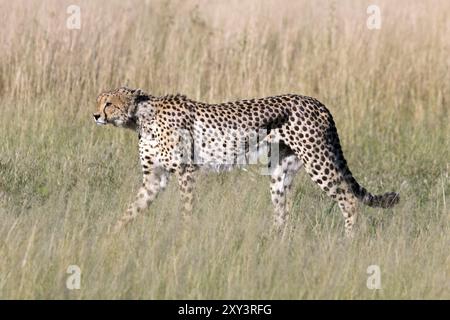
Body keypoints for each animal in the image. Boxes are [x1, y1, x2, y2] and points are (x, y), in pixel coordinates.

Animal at [93, 86, 400, 236]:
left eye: (109, 103)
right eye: (98, 101)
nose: (95, 115)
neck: (140, 118)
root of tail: (317, 101)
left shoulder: (186, 171)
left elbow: (187, 208)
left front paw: (185, 237)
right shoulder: (154, 177)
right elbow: (132, 208)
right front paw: (110, 235)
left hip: (317, 161)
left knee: (348, 200)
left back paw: (348, 242)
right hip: (280, 172)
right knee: (282, 214)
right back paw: (273, 246)